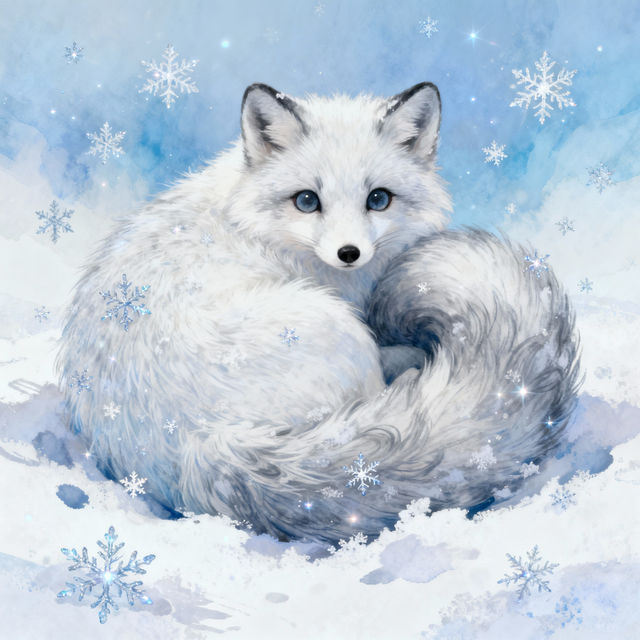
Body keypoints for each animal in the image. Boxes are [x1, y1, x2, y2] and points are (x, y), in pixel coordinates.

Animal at [58, 82, 580, 543]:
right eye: (307, 200)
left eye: (378, 198)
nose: (349, 253)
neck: (250, 222)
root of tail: (205, 443)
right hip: (338, 330)